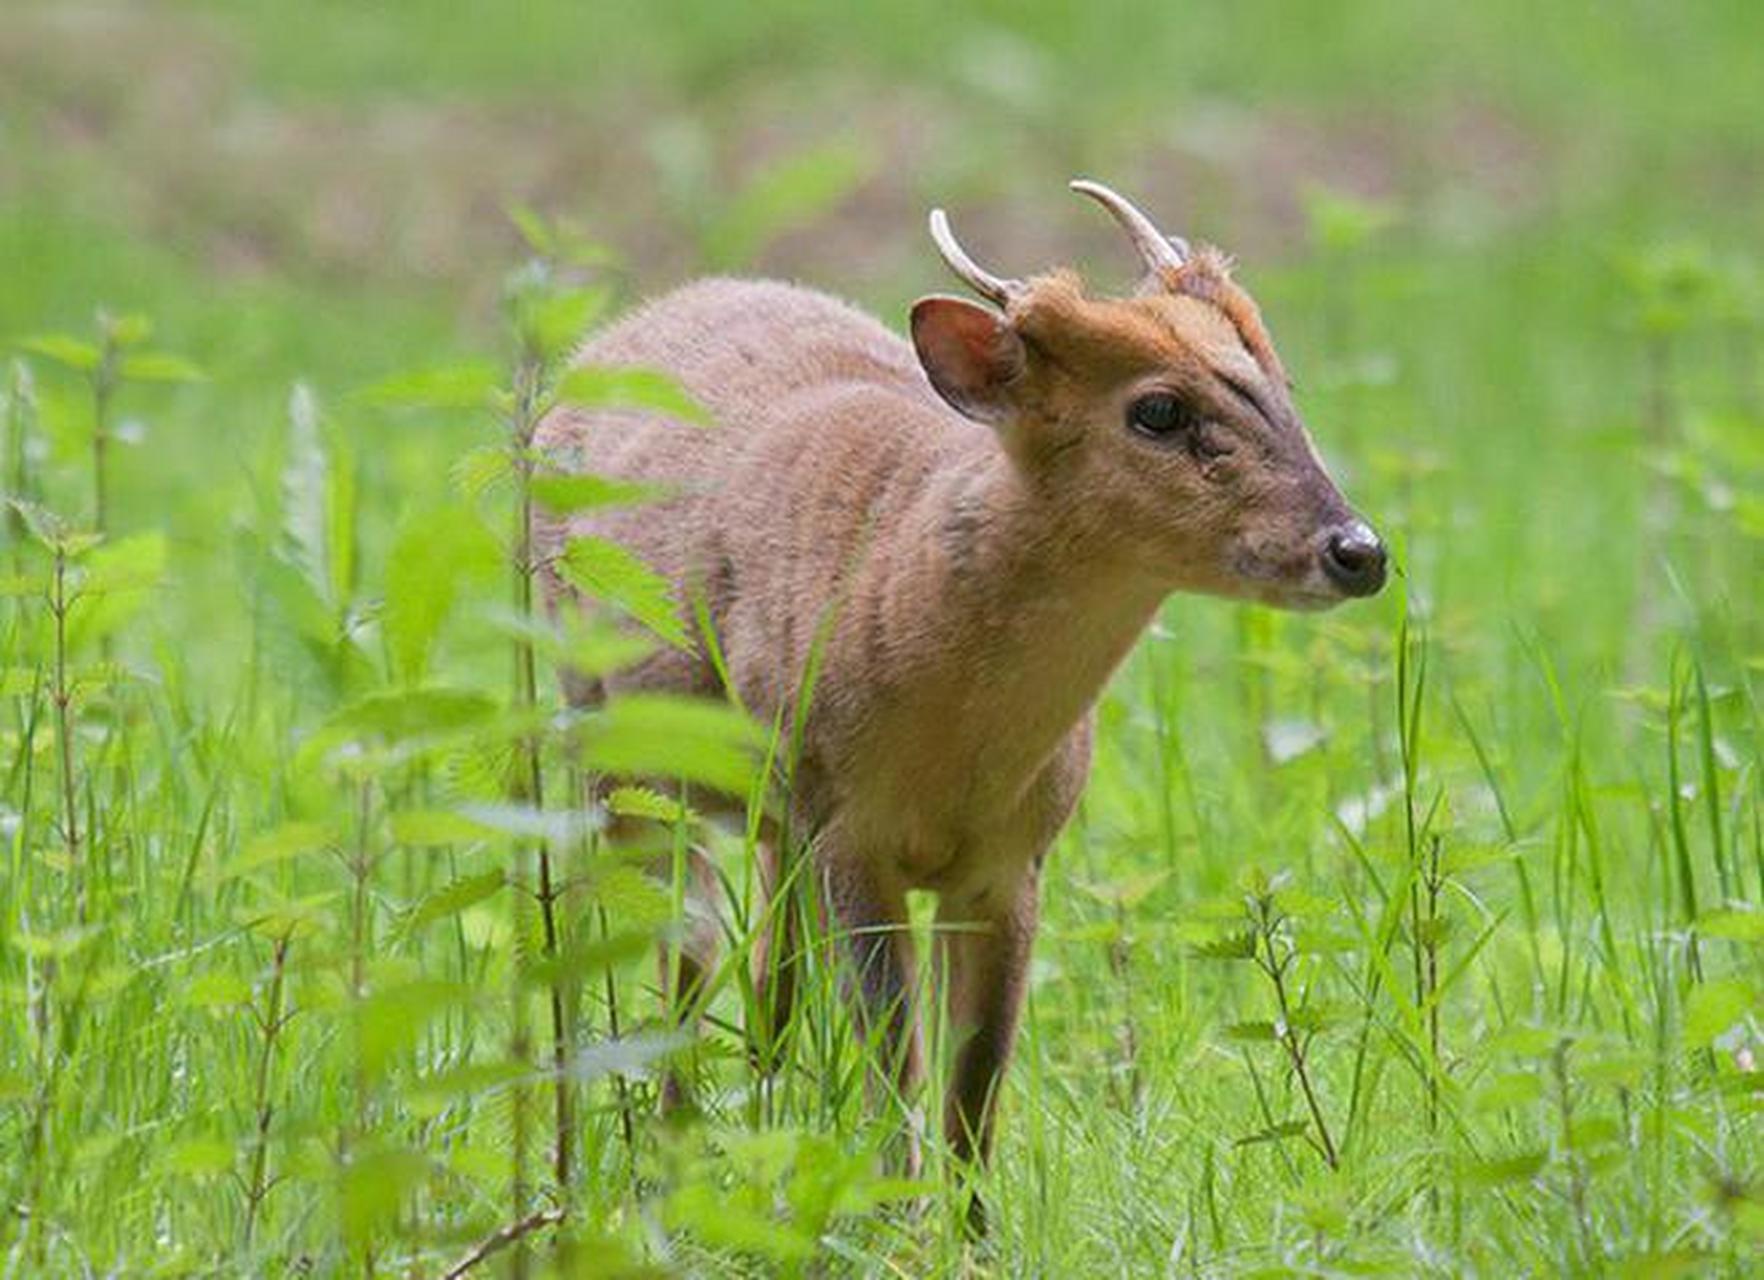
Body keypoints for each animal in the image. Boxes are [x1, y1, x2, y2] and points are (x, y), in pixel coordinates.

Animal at [529, 183, 1382, 1213]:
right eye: (1159, 409)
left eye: (1282, 385)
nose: (1360, 552)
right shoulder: (850, 832)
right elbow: (896, 1067)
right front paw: (893, 1221)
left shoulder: (1011, 861)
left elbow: (974, 1090)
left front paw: (967, 1232)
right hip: (608, 744)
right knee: (651, 961)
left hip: (771, 814)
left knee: (765, 989)